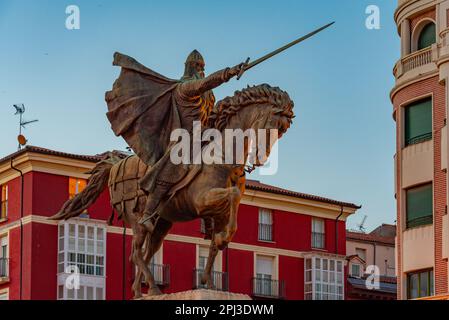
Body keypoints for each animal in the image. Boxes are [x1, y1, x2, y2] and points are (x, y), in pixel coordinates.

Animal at [50, 84, 294, 298]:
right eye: (272, 126)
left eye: (282, 131)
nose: (261, 158)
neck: (223, 157)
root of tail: (115, 166)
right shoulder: (202, 201)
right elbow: (231, 199)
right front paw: (222, 241)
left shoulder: (219, 213)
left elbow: (216, 245)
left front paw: (210, 280)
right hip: (137, 220)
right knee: (136, 253)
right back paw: (154, 288)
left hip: (161, 226)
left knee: (144, 254)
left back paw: (139, 291)